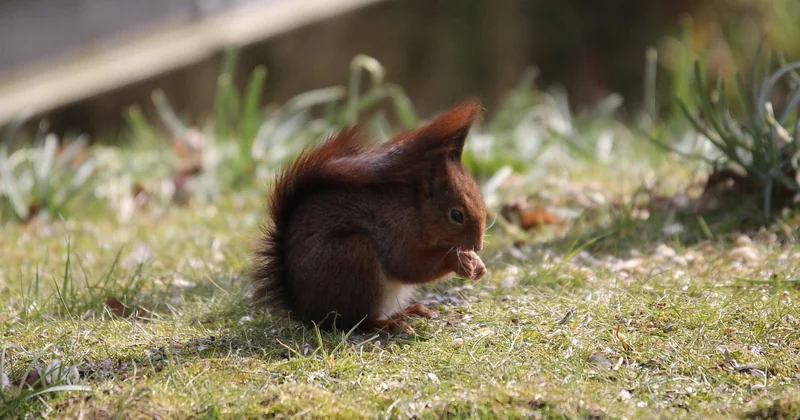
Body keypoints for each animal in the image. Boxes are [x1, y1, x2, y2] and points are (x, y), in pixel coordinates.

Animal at [249, 99, 488, 334]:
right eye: (456, 215)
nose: (478, 246)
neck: (415, 210)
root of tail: (305, 309)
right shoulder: (393, 230)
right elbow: (408, 265)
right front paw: (458, 260)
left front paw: (477, 264)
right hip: (354, 259)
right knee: (358, 321)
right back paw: (390, 324)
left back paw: (409, 312)